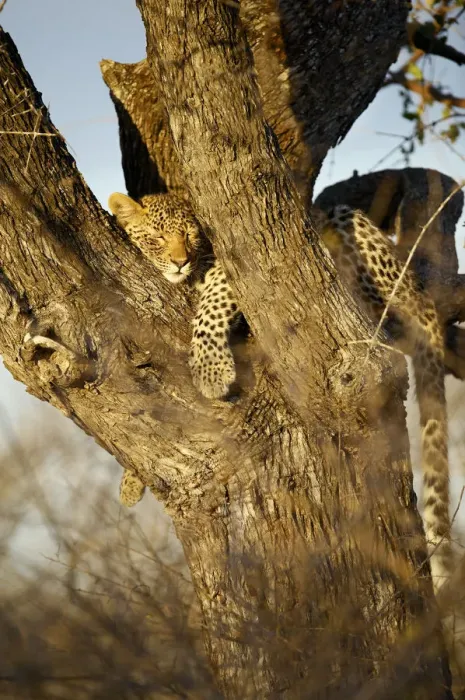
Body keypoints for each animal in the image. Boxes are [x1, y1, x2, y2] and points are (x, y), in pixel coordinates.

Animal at [110, 192, 452, 592]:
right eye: (157, 238)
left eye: (191, 235)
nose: (181, 261)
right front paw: (130, 483)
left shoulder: (230, 269)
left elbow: (211, 305)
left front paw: (211, 369)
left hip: (349, 227)